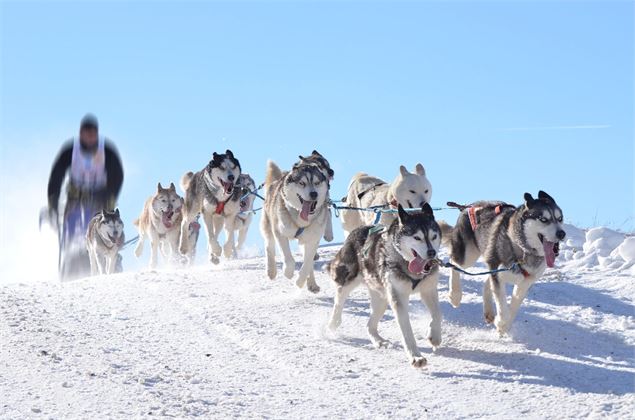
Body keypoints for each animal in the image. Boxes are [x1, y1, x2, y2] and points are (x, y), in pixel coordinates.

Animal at [328, 203, 442, 368]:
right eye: (417, 237)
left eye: (433, 236)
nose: (432, 253)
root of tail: (357, 231)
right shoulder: (398, 298)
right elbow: (407, 331)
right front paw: (415, 356)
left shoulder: (429, 290)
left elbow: (437, 314)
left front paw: (435, 336)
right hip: (348, 281)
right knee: (339, 301)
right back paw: (333, 323)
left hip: (382, 299)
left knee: (370, 325)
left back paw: (379, 341)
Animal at [440, 190, 568, 334]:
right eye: (544, 219)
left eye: (560, 218)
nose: (562, 234)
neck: (522, 249)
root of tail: (468, 206)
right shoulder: (498, 273)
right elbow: (501, 301)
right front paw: (501, 322)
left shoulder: (525, 282)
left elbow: (514, 305)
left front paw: (504, 326)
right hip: (469, 255)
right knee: (454, 263)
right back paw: (455, 295)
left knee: (486, 282)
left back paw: (489, 311)